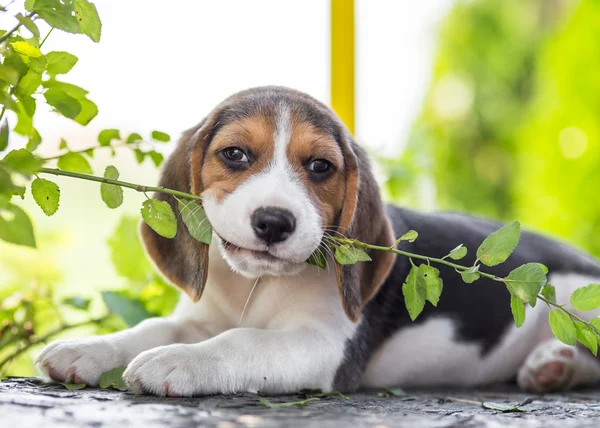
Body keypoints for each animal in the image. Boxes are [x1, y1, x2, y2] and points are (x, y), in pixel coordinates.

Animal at [35, 86, 600, 394]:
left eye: (321, 167)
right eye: (235, 154)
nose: (273, 222)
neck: (255, 286)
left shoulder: (322, 345)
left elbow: (241, 342)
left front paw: (180, 362)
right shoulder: (202, 317)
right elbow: (155, 328)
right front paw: (90, 349)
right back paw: (552, 367)